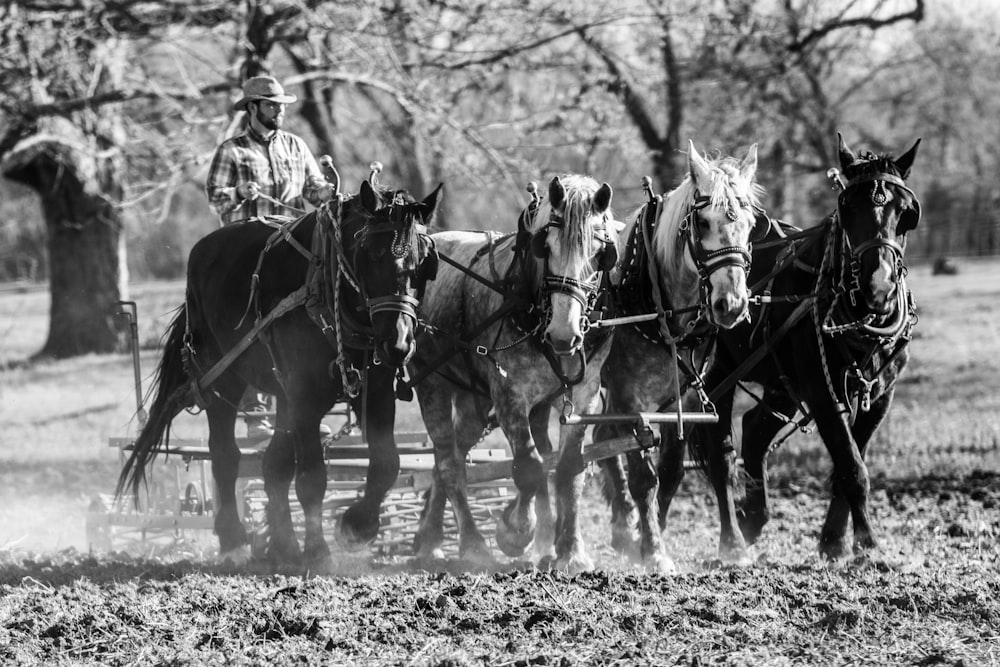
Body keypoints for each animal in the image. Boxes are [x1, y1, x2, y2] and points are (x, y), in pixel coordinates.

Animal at [117, 180, 442, 572]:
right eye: (372, 253)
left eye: (424, 263)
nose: (398, 343)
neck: (329, 288)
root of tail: (201, 251)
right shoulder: (305, 397)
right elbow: (312, 478)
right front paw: (318, 551)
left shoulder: (374, 391)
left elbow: (386, 463)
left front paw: (355, 526)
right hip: (223, 379)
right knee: (225, 456)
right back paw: (234, 542)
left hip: (285, 396)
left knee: (273, 464)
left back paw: (284, 546)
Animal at [672, 136, 920, 564]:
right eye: (847, 206)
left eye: (905, 211)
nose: (880, 285)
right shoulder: (822, 392)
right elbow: (852, 466)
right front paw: (868, 544)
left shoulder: (880, 396)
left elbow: (849, 462)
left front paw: (835, 540)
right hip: (722, 366)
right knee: (720, 448)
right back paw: (731, 539)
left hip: (782, 380)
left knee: (755, 430)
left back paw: (754, 517)